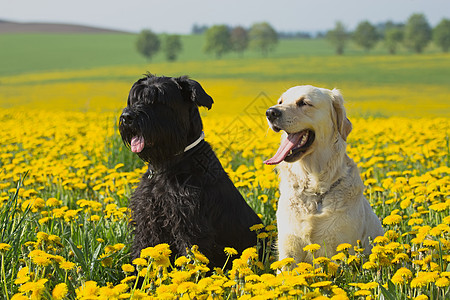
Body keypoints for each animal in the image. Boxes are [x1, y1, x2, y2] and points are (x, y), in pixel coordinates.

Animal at [119, 74, 262, 268]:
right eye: (135, 98)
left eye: (159, 100)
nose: (127, 117)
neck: (169, 164)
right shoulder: (147, 219)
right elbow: (142, 248)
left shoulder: (190, 225)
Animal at [264, 85, 384, 264]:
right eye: (280, 101)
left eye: (304, 103)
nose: (271, 112)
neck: (315, 191)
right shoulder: (289, 247)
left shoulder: (339, 246)